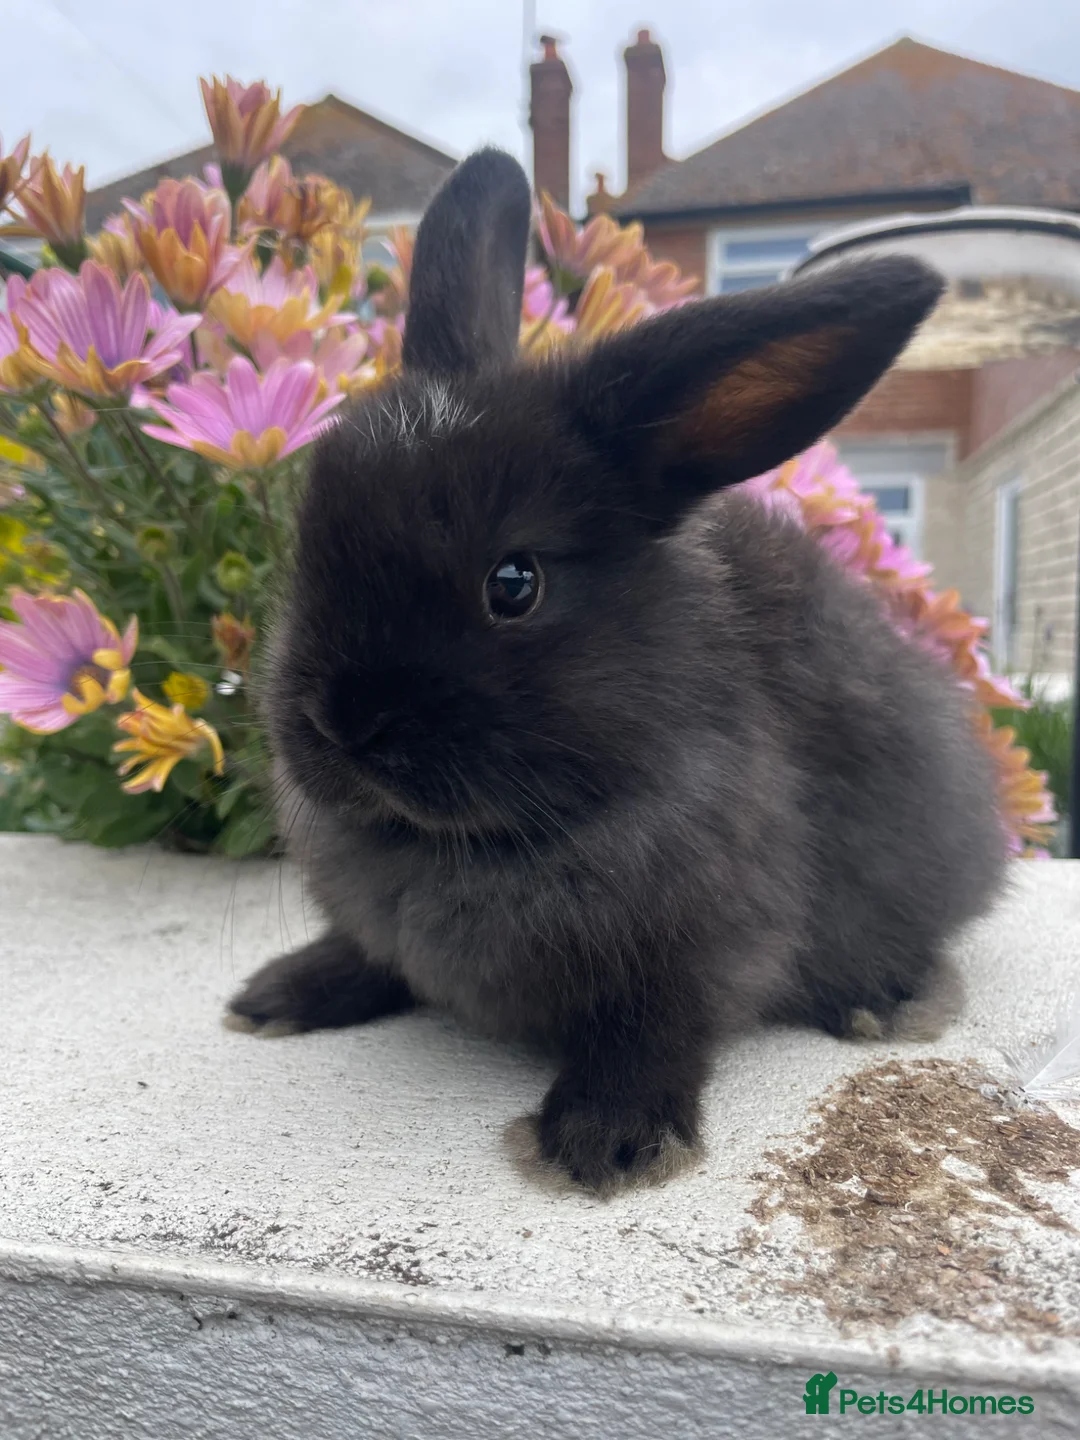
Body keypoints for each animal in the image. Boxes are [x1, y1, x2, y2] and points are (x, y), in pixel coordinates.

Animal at [225, 149, 1006, 1193]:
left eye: (513, 584)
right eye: (309, 546)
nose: (343, 723)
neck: (470, 844)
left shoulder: (704, 942)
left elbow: (653, 1029)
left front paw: (608, 1141)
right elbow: (367, 953)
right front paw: (279, 995)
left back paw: (888, 995)